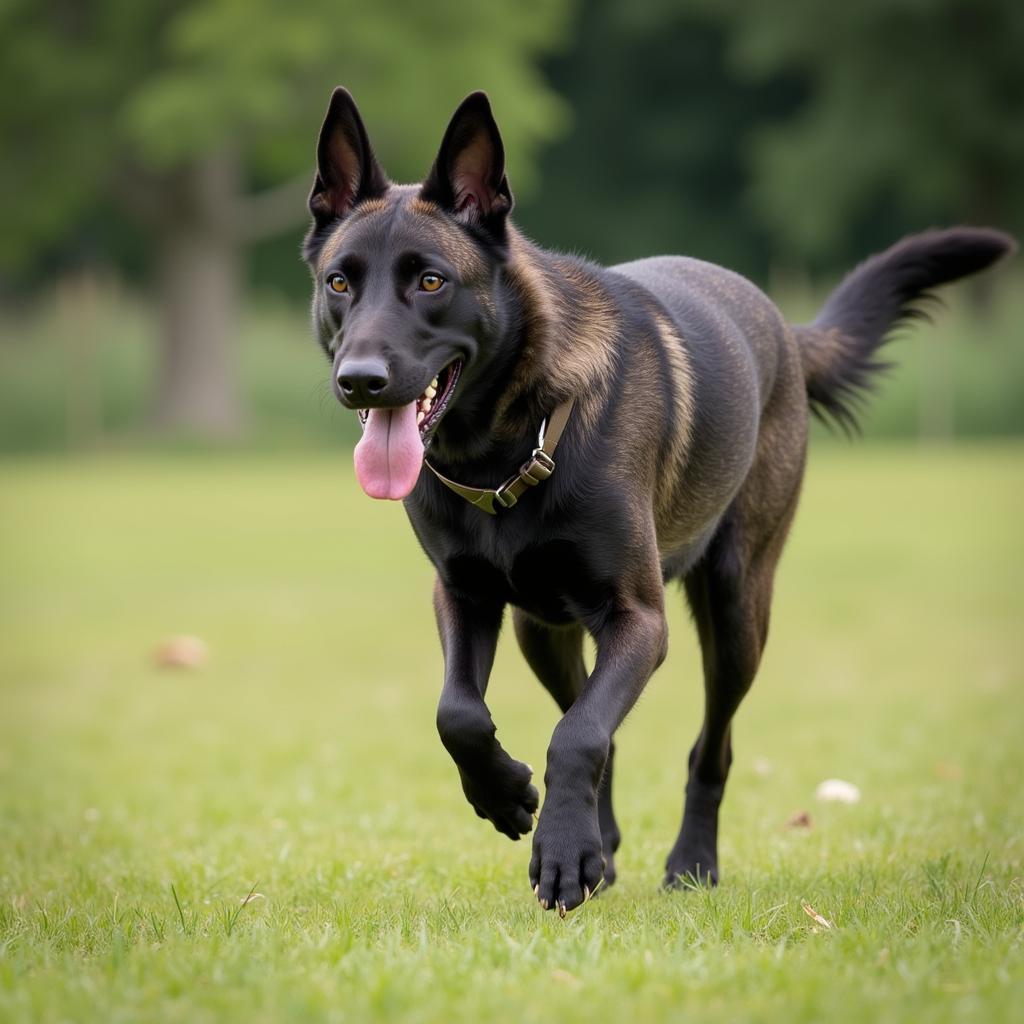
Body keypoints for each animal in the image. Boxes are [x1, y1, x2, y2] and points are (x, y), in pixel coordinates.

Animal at [299, 88, 1011, 917]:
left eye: (432, 282)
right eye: (340, 283)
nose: (360, 380)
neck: (512, 442)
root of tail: (783, 325)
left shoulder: (640, 617)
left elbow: (578, 734)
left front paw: (559, 850)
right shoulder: (464, 597)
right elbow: (463, 714)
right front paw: (510, 798)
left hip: (736, 614)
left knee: (708, 745)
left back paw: (689, 861)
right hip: (543, 631)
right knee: (587, 713)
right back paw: (597, 846)